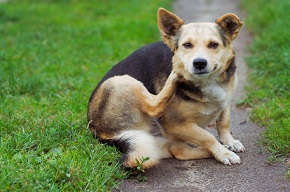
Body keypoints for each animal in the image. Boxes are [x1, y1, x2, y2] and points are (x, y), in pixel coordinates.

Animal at [88, 8, 245, 169]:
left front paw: (229, 142)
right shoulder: (176, 124)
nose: (199, 63)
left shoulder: (226, 100)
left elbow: (224, 121)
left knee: (179, 151)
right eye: (187, 45)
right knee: (154, 107)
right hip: (122, 80)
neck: (209, 81)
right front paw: (223, 153)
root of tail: (99, 132)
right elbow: (207, 137)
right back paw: (175, 75)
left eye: (213, 44)